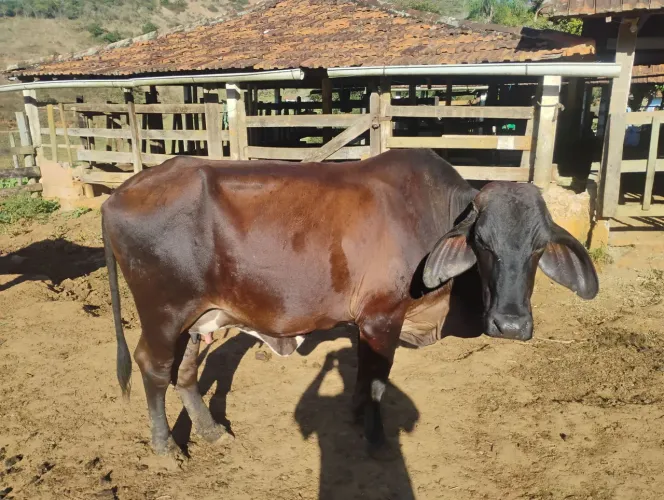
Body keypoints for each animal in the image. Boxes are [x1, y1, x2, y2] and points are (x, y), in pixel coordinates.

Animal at [101, 148, 598, 460]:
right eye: (483, 244)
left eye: (538, 248)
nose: (510, 324)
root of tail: (117, 195)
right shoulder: (382, 318)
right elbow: (377, 380)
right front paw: (376, 438)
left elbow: (362, 379)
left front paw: (358, 416)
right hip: (164, 312)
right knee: (153, 368)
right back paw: (165, 447)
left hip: (199, 316)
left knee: (184, 372)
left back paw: (209, 432)